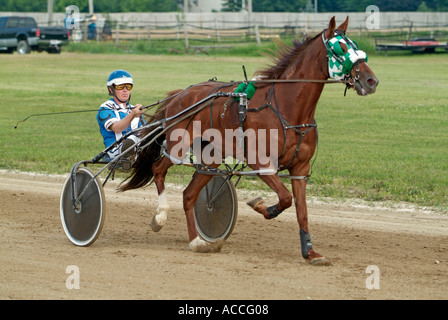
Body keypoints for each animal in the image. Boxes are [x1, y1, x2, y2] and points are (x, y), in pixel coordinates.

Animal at [118, 16, 378, 264]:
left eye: (357, 46)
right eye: (340, 47)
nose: (371, 80)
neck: (287, 109)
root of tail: (180, 94)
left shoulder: (300, 168)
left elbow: (301, 210)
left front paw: (310, 252)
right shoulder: (260, 162)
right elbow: (285, 198)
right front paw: (262, 206)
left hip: (210, 158)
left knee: (189, 195)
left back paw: (196, 241)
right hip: (178, 146)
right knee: (158, 169)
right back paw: (160, 216)